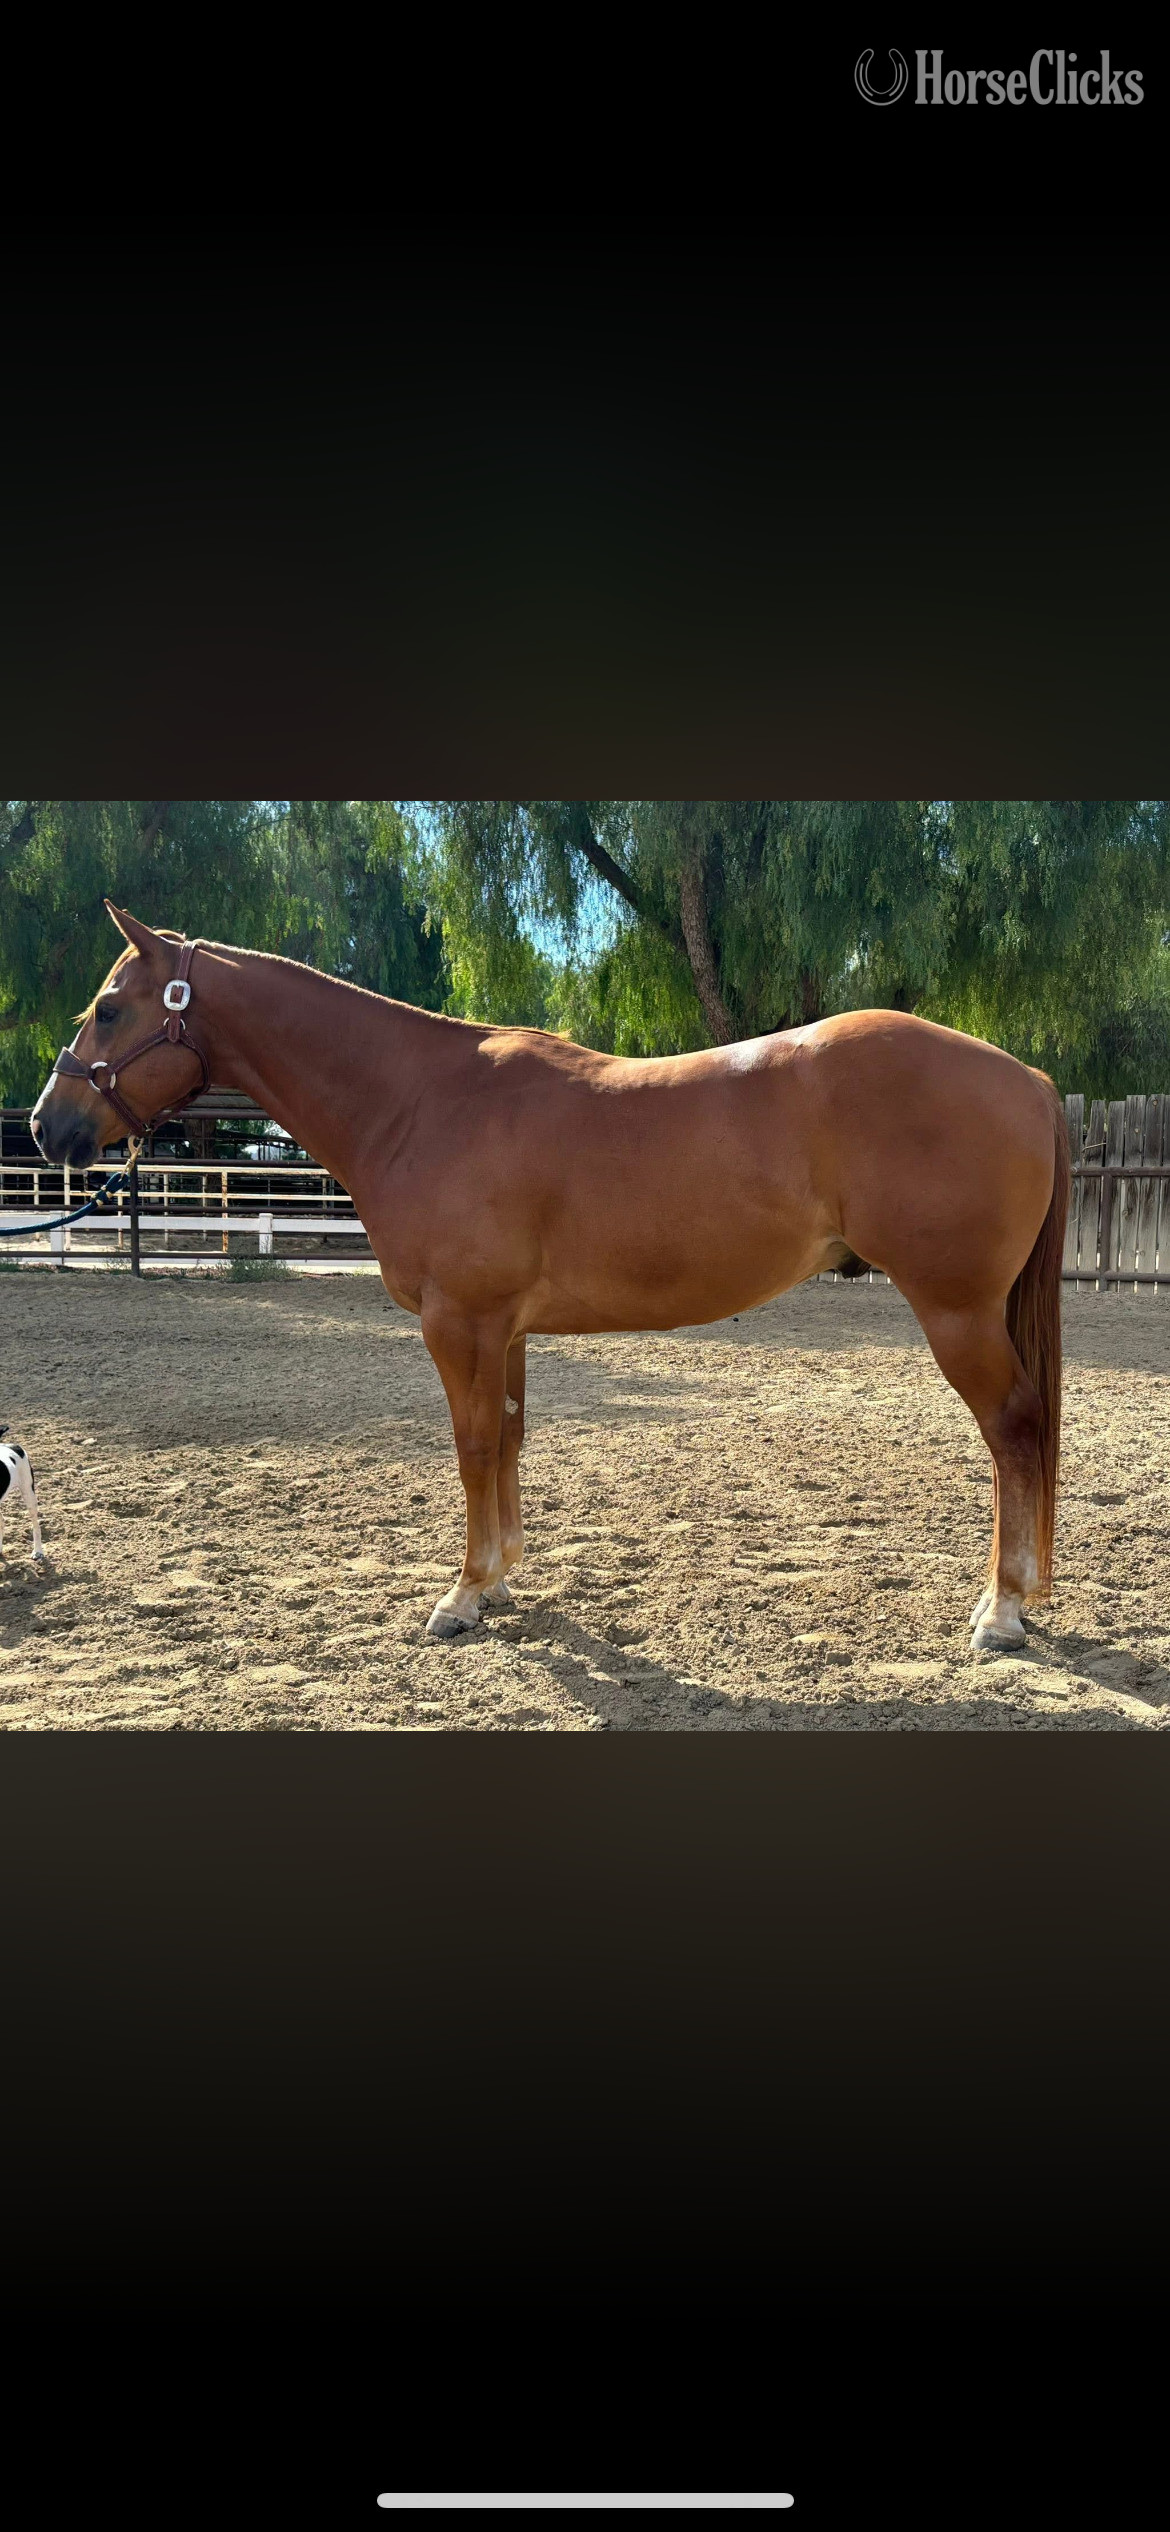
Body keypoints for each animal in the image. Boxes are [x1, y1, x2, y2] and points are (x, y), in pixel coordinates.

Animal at [30, 903, 1070, 1654]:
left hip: (956, 1310)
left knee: (1014, 1429)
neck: (421, 1101)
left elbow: (472, 1447)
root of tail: (1030, 1078)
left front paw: (460, 1597)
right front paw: (499, 1577)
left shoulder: (459, 1322)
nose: (47, 1128)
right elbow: (509, 1443)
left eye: (109, 1008)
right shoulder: (507, 1330)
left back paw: (1001, 1610)